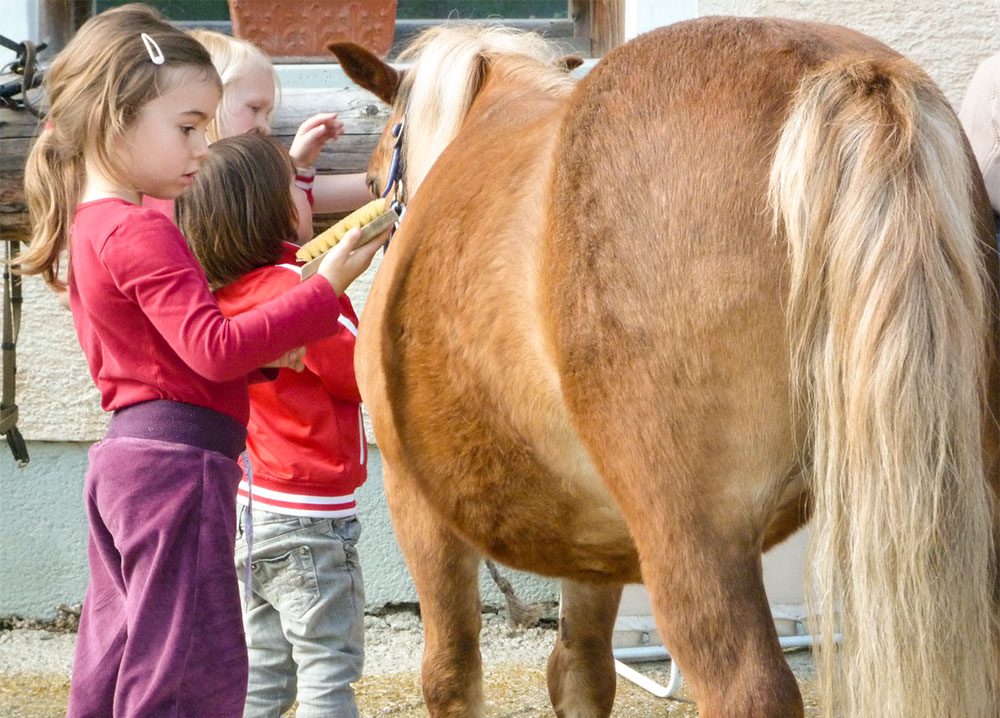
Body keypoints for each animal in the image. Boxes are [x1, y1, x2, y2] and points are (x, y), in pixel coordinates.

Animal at [330, 16, 1000, 718]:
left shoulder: (414, 498)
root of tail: (842, 75)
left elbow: (451, 674)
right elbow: (581, 672)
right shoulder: (595, 539)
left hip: (696, 542)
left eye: (377, 185)